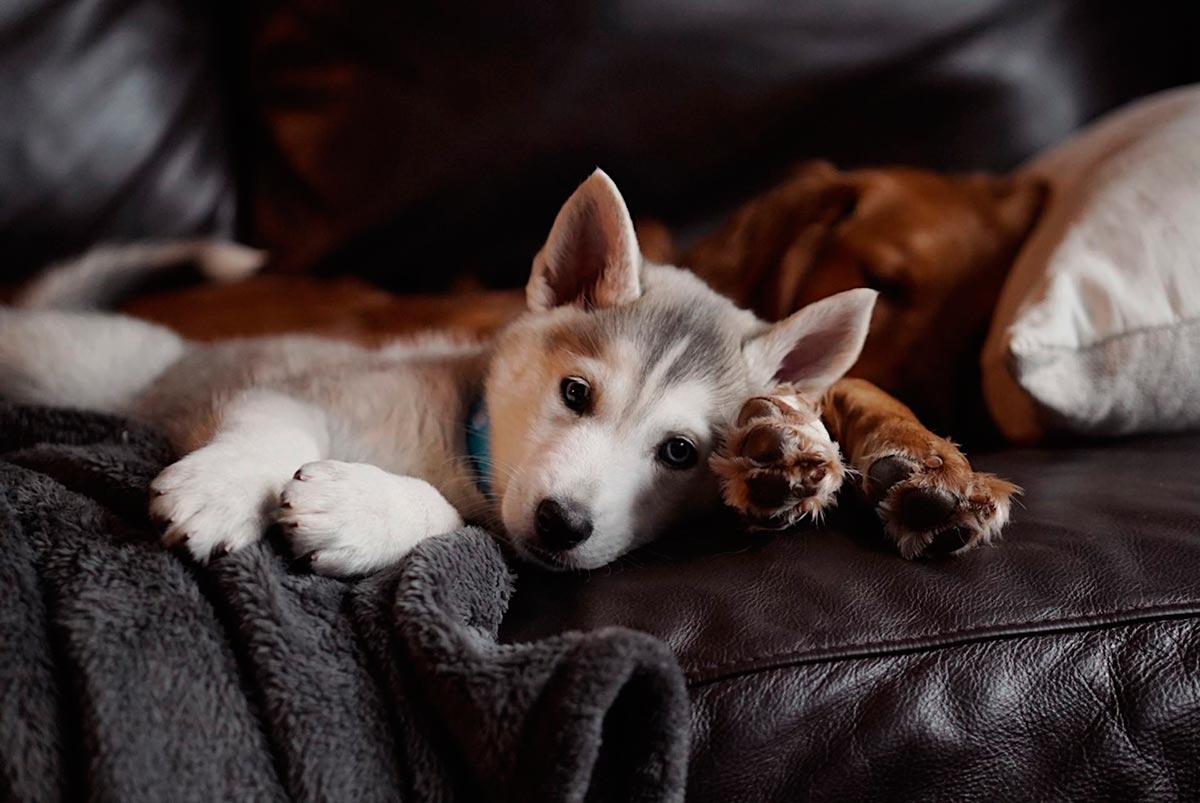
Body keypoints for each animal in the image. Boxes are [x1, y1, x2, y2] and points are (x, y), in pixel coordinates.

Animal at [0, 170, 873, 568]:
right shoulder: (306, 385)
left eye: (680, 452)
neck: (461, 446)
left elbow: (455, 521)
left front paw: (359, 508)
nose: (563, 523)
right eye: (576, 392)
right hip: (75, 363)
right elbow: (270, 427)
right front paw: (222, 487)